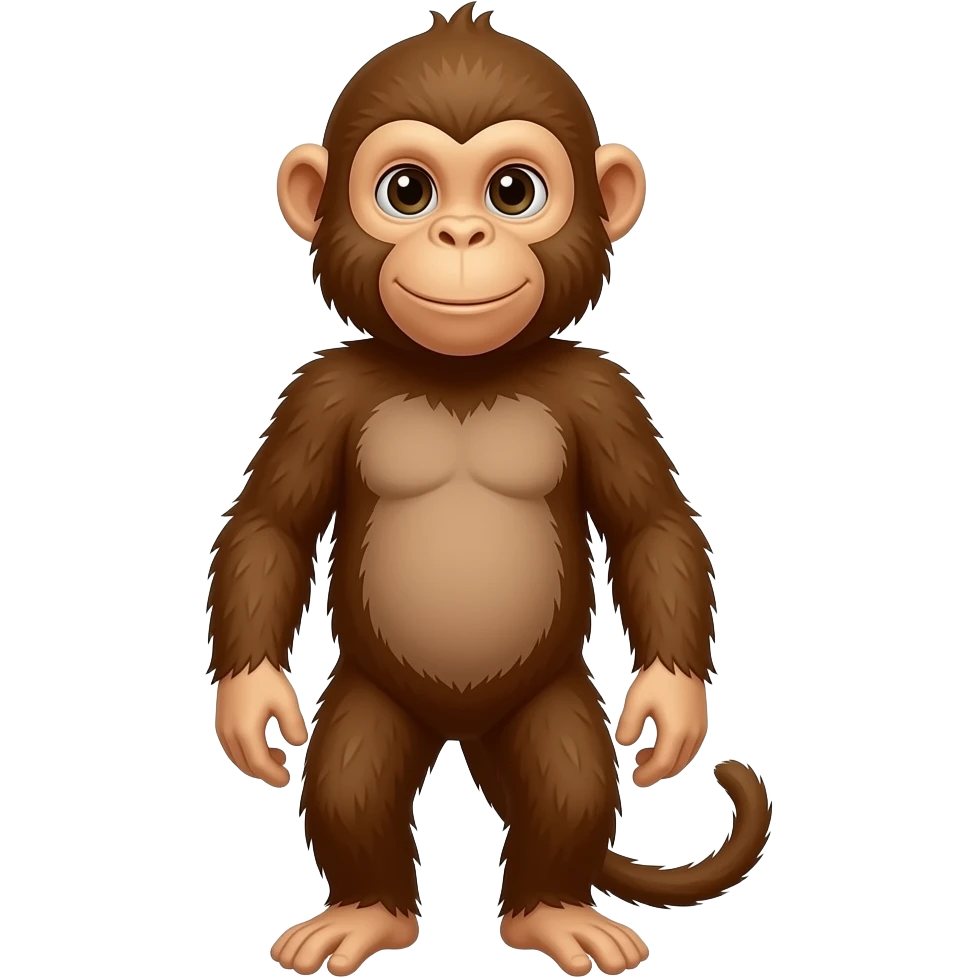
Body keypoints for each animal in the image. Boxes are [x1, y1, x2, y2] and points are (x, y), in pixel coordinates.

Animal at [209, 5, 772, 976]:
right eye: (408, 191)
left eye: (514, 191)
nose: (462, 237)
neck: (462, 374)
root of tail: (462, 730)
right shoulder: (317, 393)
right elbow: (270, 526)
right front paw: (252, 704)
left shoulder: (603, 392)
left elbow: (652, 524)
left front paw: (670, 703)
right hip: (375, 694)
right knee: (352, 775)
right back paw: (368, 912)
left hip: (544, 699)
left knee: (568, 774)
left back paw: (553, 911)